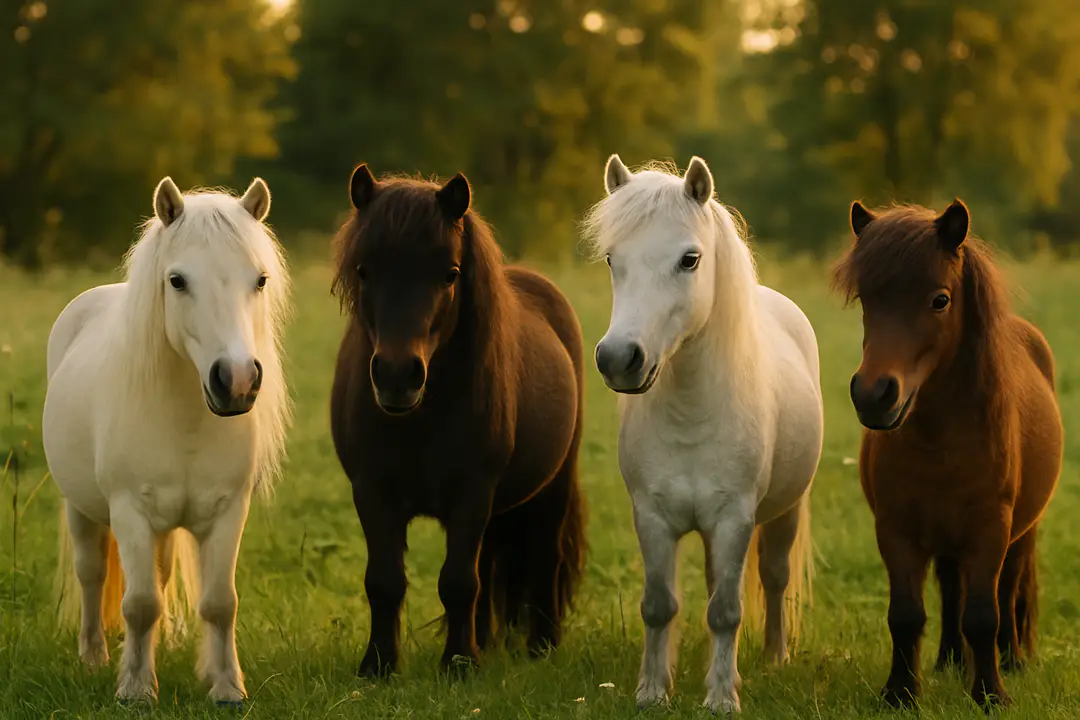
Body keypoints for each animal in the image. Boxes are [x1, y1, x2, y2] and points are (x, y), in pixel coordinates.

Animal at [42, 177, 291, 706]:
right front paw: (136, 689)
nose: (237, 381)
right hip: (81, 508)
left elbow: (219, 603)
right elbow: (138, 604)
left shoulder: (227, 512)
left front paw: (226, 687)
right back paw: (93, 655)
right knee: (92, 573)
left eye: (259, 280)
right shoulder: (130, 512)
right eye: (177, 281)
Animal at [329, 165, 587, 677]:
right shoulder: (372, 492)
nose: (397, 375)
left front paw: (459, 664)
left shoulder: (472, 492)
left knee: (544, 557)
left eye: (450, 273)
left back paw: (541, 647)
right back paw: (485, 640)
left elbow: (458, 582)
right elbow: (385, 581)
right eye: (364, 270)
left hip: (553, 486)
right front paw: (379, 665)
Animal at [582, 155, 823, 713]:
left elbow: (726, 612)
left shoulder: (735, 519)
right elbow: (659, 605)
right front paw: (652, 691)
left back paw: (775, 657)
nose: (618, 358)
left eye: (689, 260)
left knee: (774, 578)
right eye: (612, 260)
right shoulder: (652, 518)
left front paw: (721, 698)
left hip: (785, 512)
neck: (692, 416)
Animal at [832, 199, 1063, 711]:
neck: (942, 441)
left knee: (1008, 590)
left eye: (940, 300)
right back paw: (950, 661)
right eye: (866, 299)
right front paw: (900, 693)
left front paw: (991, 695)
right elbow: (906, 615)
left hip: (1020, 534)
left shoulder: (990, 531)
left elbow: (984, 614)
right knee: (952, 590)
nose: (873, 395)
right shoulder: (896, 532)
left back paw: (1011, 660)